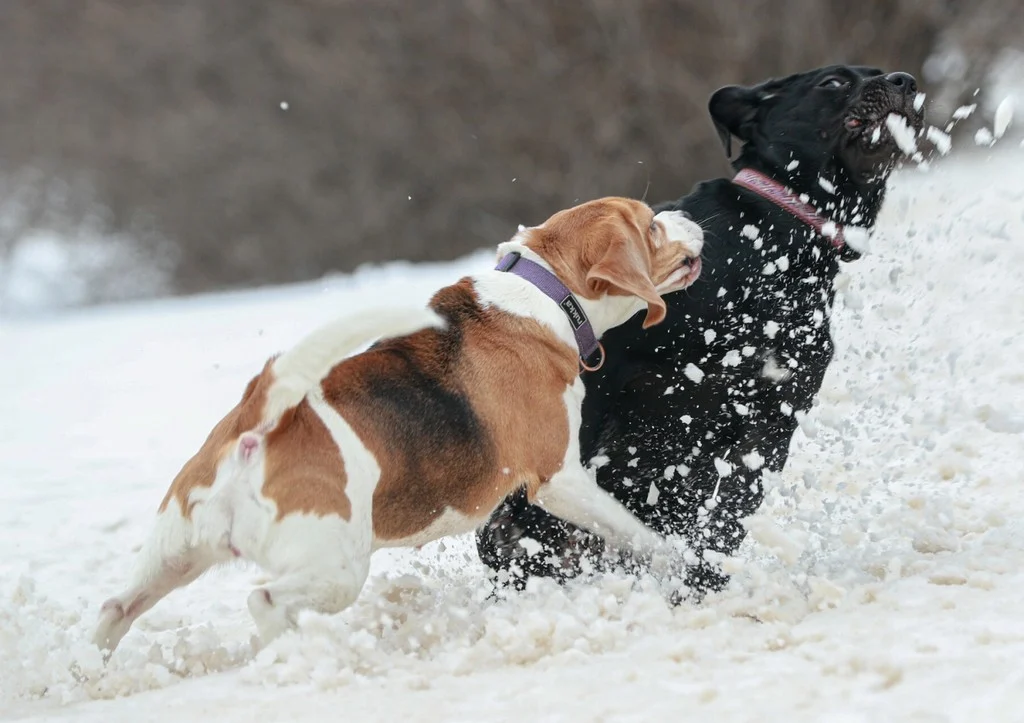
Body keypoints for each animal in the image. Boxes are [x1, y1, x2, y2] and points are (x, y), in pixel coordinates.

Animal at [94, 195, 704, 647]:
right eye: (652, 226)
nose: (692, 220)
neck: (545, 293)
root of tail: (255, 424)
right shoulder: (560, 479)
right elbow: (636, 531)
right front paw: (684, 562)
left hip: (175, 553)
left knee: (115, 608)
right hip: (336, 567)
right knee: (262, 600)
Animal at [475, 63, 925, 589]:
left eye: (880, 74)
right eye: (833, 81)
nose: (905, 81)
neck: (774, 245)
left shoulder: (774, 416)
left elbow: (730, 511)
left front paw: (703, 579)